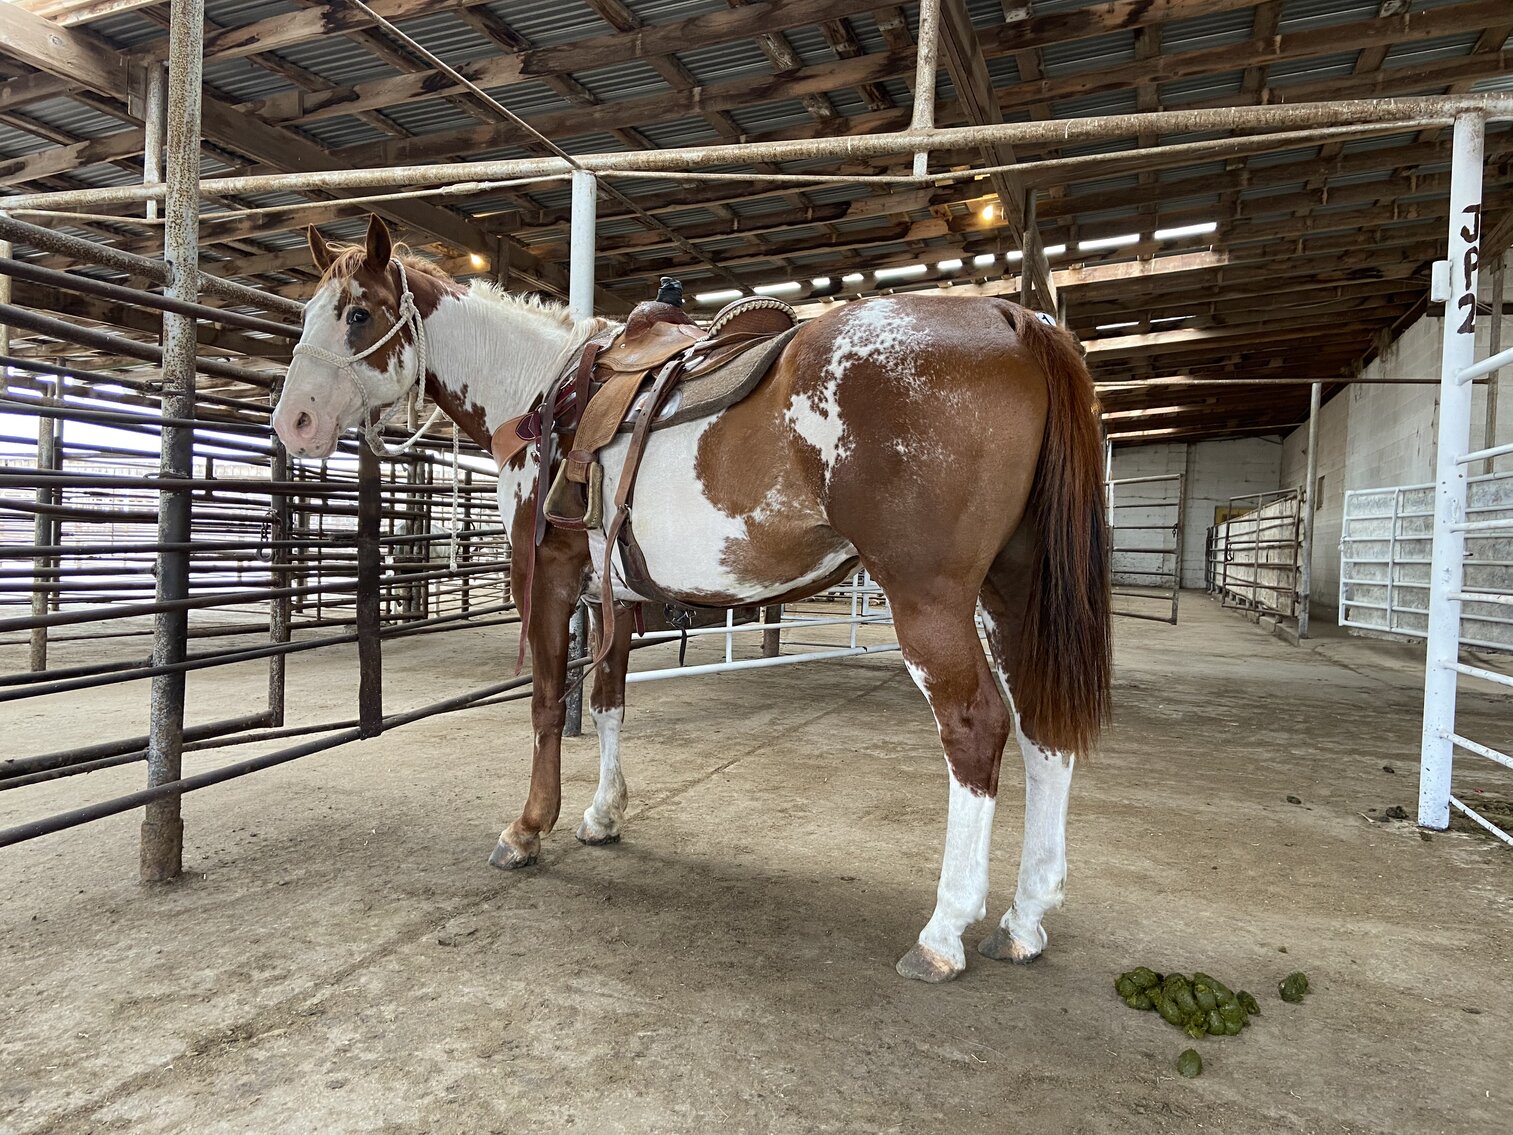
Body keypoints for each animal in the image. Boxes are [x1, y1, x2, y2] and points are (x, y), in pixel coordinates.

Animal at [272, 215, 1111, 984]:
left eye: (357, 313)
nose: (292, 424)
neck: (538, 390)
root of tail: (1014, 321)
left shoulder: (544, 580)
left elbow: (545, 702)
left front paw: (528, 828)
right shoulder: (609, 593)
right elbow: (607, 701)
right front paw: (603, 814)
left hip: (929, 596)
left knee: (976, 726)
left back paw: (943, 930)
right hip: (1012, 592)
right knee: (1041, 729)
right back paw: (1024, 918)